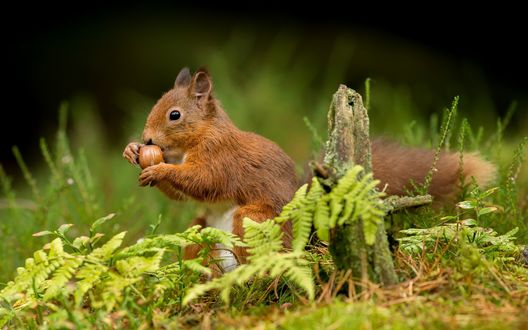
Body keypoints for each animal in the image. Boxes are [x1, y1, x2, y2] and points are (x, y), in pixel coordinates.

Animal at [124, 66, 496, 270]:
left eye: (174, 115)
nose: (147, 138)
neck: (198, 138)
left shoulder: (220, 158)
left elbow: (203, 181)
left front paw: (160, 170)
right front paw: (133, 152)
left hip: (251, 220)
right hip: (200, 230)